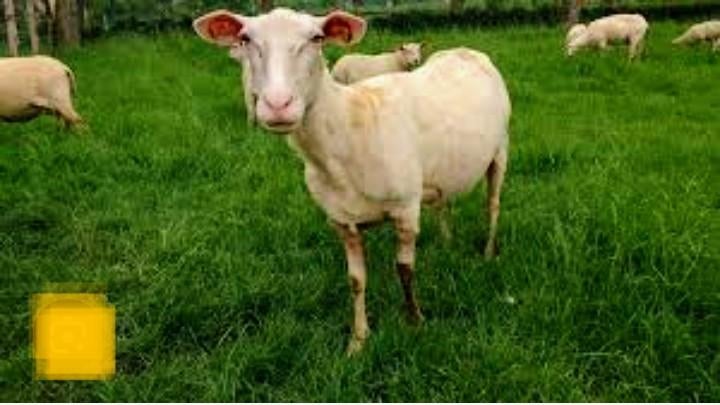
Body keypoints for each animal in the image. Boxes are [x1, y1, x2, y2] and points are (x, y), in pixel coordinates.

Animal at [193, 8, 511, 354]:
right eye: (245, 38)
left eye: (317, 38)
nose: (279, 105)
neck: (347, 129)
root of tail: (464, 50)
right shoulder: (342, 222)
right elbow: (356, 281)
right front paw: (358, 340)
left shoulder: (405, 209)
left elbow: (405, 270)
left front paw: (415, 321)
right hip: (442, 169)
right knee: (444, 202)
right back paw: (447, 242)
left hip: (501, 149)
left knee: (493, 205)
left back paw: (489, 252)